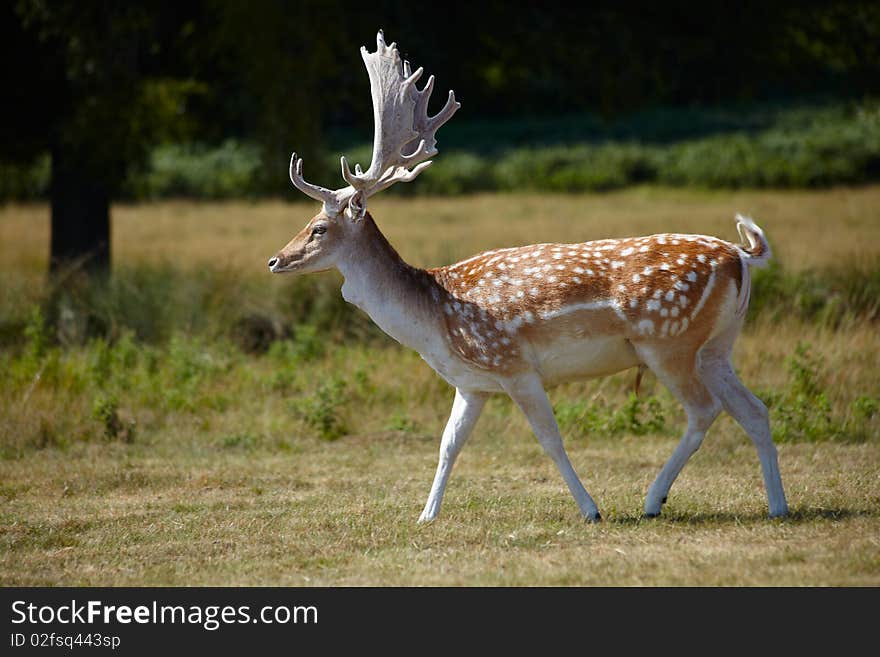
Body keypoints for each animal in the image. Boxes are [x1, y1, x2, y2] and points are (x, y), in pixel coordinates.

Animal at [270, 29, 792, 524]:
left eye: (318, 228)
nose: (276, 260)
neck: (433, 320)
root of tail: (741, 257)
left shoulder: (514, 365)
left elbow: (549, 439)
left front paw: (590, 509)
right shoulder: (471, 382)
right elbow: (448, 444)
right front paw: (425, 515)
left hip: (668, 340)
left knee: (705, 410)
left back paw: (653, 500)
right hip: (716, 345)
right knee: (755, 410)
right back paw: (777, 505)